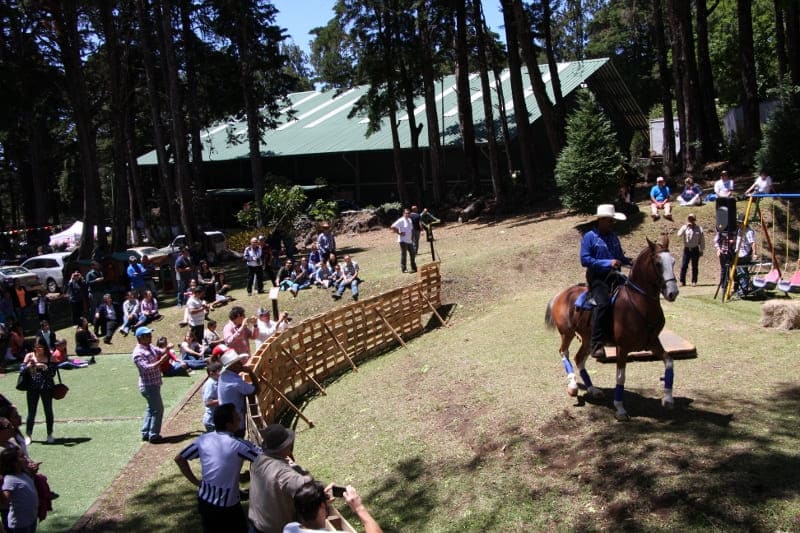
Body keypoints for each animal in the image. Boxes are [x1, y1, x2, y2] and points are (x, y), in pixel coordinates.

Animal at [540, 237, 680, 420]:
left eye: (673, 261)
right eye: (658, 263)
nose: (672, 292)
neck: (638, 304)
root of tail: (561, 294)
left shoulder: (652, 342)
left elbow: (669, 362)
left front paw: (668, 399)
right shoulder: (622, 348)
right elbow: (620, 377)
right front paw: (620, 409)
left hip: (588, 339)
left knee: (579, 358)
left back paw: (593, 389)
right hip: (567, 333)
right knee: (564, 353)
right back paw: (573, 387)